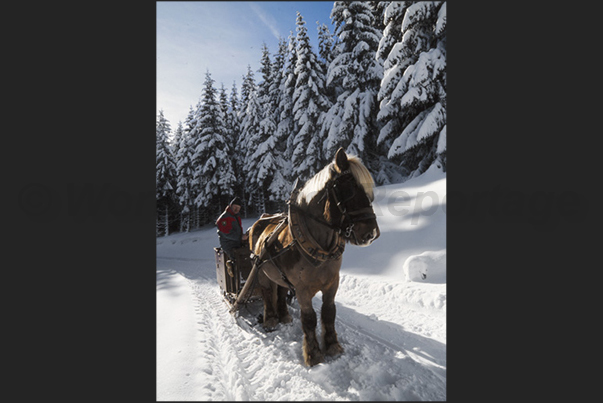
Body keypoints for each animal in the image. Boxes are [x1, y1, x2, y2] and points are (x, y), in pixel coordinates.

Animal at [248, 148, 380, 366]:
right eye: (348, 188)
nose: (371, 234)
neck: (318, 245)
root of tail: (260, 221)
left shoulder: (332, 283)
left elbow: (328, 313)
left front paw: (333, 347)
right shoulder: (302, 289)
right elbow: (309, 319)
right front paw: (314, 355)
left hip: (280, 276)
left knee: (280, 292)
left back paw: (284, 316)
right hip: (261, 273)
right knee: (267, 294)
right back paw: (271, 320)